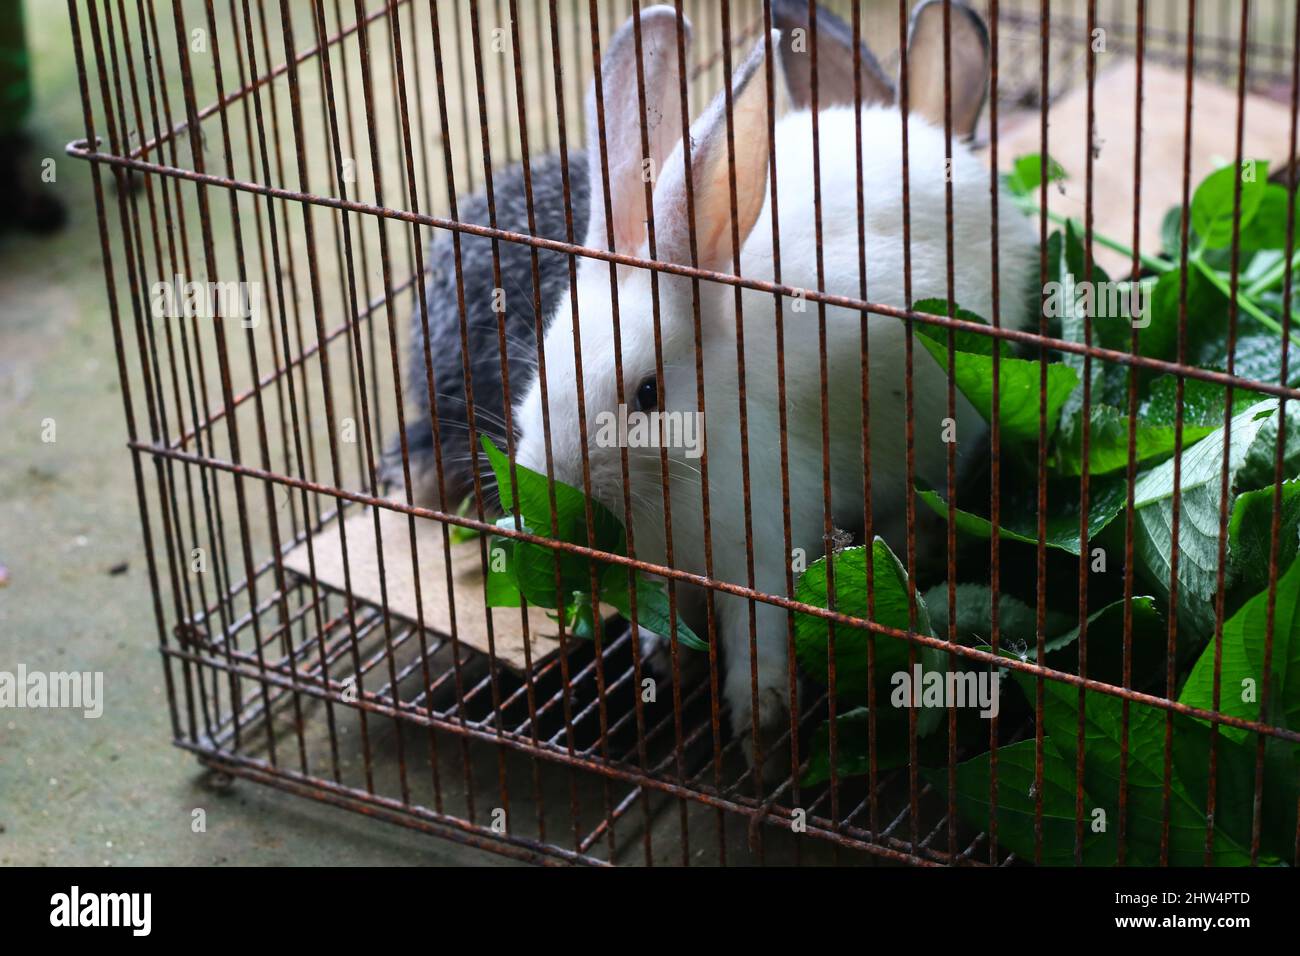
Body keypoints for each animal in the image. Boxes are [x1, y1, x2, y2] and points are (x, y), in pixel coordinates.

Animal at [510, 0, 1040, 779]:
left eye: (647, 393)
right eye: (542, 371)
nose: (554, 491)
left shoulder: (754, 551)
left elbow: (755, 648)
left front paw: (759, 740)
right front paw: (667, 661)